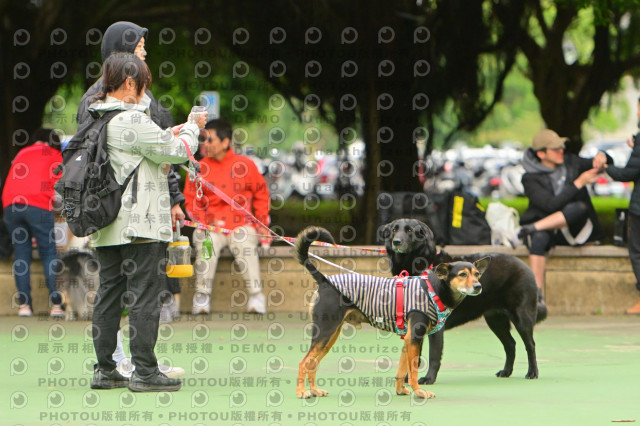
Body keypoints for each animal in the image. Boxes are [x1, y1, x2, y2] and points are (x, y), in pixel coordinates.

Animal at [294, 226, 488, 399]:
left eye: (477, 274)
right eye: (462, 274)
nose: (478, 286)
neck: (433, 289)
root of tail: (324, 280)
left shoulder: (408, 339)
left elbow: (402, 370)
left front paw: (401, 390)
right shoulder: (415, 337)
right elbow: (413, 371)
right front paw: (419, 392)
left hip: (330, 336)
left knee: (312, 363)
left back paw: (315, 391)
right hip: (325, 332)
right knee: (304, 362)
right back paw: (302, 392)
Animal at [382, 218, 547, 384]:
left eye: (410, 230)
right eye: (395, 230)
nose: (396, 242)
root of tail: (524, 266)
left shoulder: (436, 327)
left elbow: (433, 355)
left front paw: (428, 379)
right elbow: (414, 355)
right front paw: (407, 379)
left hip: (521, 316)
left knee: (530, 345)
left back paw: (532, 372)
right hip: (495, 320)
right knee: (510, 344)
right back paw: (506, 371)